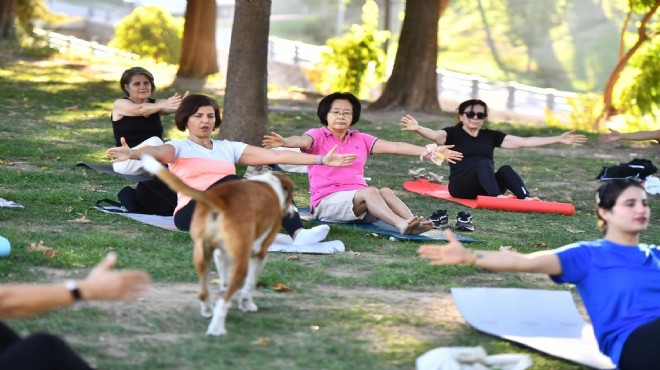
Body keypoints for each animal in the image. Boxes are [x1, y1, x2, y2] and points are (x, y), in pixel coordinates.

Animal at [143, 155, 296, 336]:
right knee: (225, 298)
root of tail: (220, 200)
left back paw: (208, 311)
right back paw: (217, 329)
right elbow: (250, 285)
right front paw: (247, 305)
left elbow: (224, 282)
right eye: (291, 197)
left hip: (201, 255)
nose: (293, 213)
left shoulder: (220, 254)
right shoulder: (259, 253)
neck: (270, 186)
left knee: (204, 292)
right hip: (241, 264)